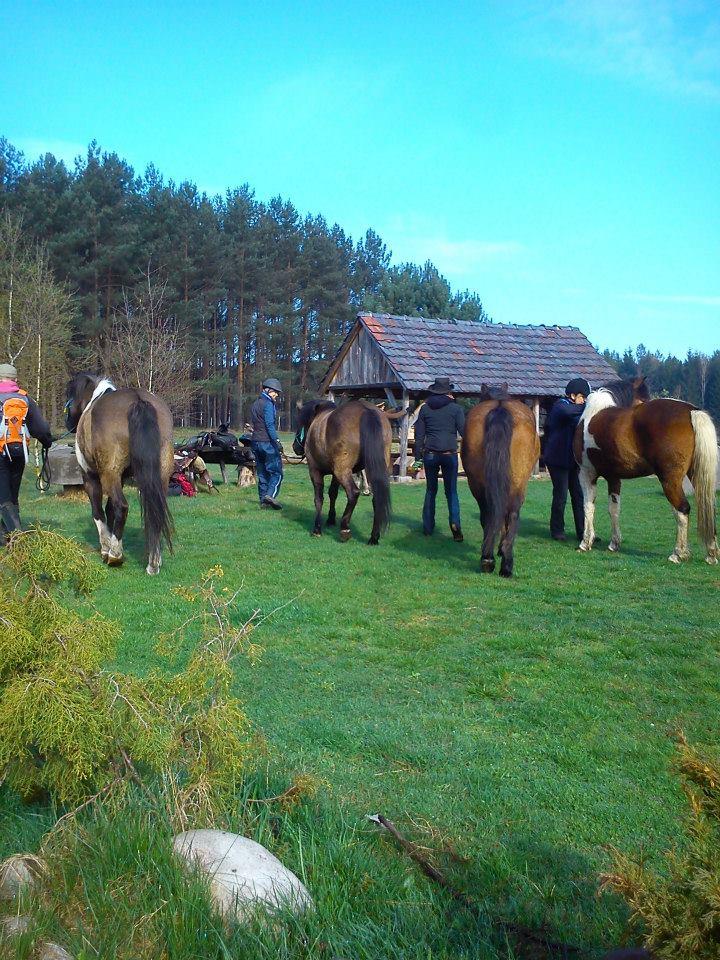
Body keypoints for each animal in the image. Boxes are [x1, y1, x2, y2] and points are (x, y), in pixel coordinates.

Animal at [66, 372, 176, 572]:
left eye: (69, 399)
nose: (68, 423)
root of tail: (138, 400)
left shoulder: (91, 477)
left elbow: (99, 512)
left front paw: (106, 548)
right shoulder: (121, 478)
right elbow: (109, 510)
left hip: (108, 475)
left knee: (121, 507)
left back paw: (115, 555)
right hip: (159, 476)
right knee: (155, 510)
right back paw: (153, 562)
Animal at [462, 384, 540, 576]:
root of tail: (499, 407)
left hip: (478, 484)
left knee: (488, 513)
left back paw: (487, 559)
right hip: (519, 485)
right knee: (512, 514)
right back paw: (505, 563)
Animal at [572, 376, 720, 564]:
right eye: (642, 398)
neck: (594, 414)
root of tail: (691, 411)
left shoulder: (586, 474)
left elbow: (588, 506)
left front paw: (586, 542)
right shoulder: (613, 477)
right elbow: (614, 509)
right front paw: (614, 544)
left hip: (669, 480)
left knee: (682, 509)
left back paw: (678, 554)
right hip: (695, 475)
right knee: (709, 507)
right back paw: (711, 554)